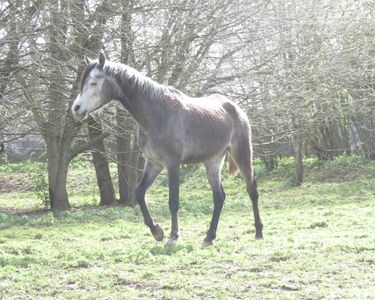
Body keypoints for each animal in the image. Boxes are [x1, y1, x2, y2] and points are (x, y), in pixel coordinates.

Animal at [71, 53, 264, 246]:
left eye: (94, 83)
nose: (76, 109)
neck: (156, 113)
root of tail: (236, 109)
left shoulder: (172, 163)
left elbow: (173, 201)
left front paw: (173, 236)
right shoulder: (154, 163)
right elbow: (139, 193)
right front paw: (157, 231)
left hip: (242, 155)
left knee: (252, 191)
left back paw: (258, 232)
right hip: (213, 162)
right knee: (219, 197)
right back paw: (209, 237)